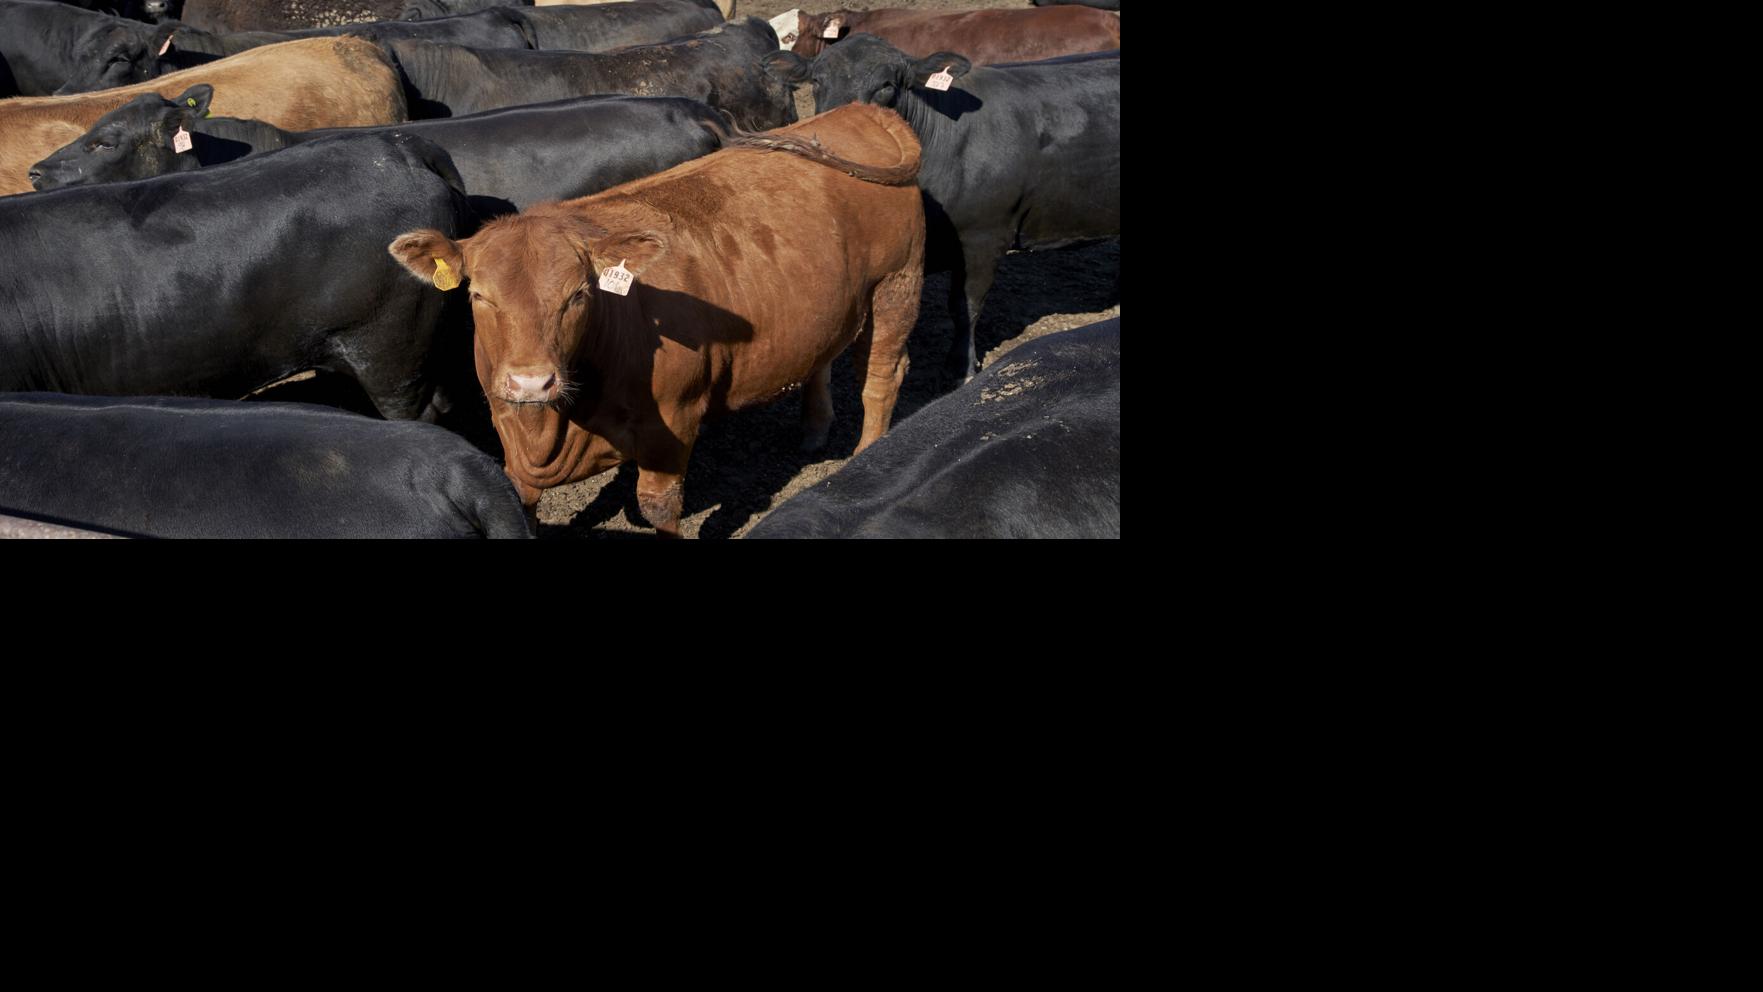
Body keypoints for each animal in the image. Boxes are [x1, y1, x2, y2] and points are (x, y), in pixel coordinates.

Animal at [387, 102, 926, 537]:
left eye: (579, 294)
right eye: (478, 295)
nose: (531, 382)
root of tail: (860, 112)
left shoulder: (674, 418)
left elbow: (658, 505)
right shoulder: (509, 431)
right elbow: (521, 500)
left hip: (897, 285)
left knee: (882, 377)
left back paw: (865, 456)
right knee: (824, 357)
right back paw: (814, 430)